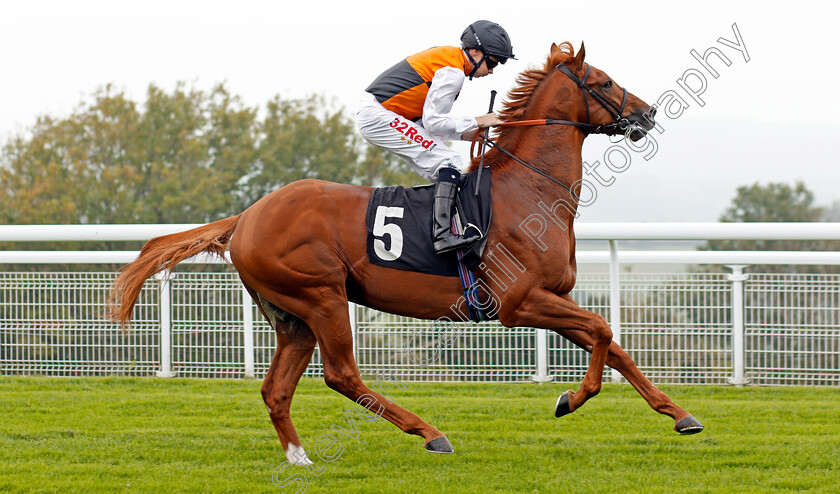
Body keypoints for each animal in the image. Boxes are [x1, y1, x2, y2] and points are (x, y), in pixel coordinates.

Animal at [108, 41, 704, 464]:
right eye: (603, 81)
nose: (648, 113)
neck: (528, 191)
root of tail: (247, 216)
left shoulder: (551, 297)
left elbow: (614, 344)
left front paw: (681, 415)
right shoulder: (519, 303)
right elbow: (602, 333)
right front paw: (569, 401)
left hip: (292, 315)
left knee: (277, 390)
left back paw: (299, 458)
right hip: (322, 296)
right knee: (341, 375)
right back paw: (430, 433)